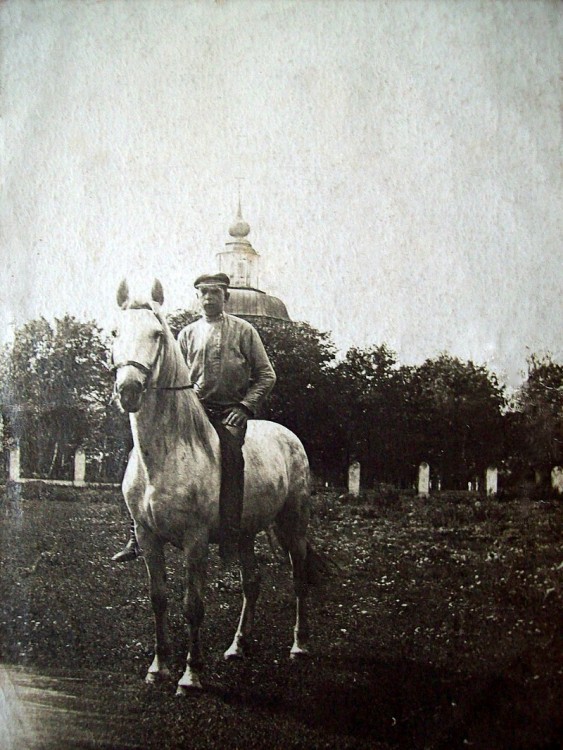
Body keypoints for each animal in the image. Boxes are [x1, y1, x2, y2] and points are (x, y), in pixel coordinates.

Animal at [112, 282, 324, 700]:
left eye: (157, 335)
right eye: (115, 333)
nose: (128, 390)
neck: (168, 451)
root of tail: (288, 436)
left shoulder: (195, 541)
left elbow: (193, 606)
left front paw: (191, 676)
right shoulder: (147, 537)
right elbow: (158, 600)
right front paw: (158, 667)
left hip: (293, 525)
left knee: (298, 579)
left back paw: (299, 644)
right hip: (243, 534)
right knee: (251, 584)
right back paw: (237, 646)